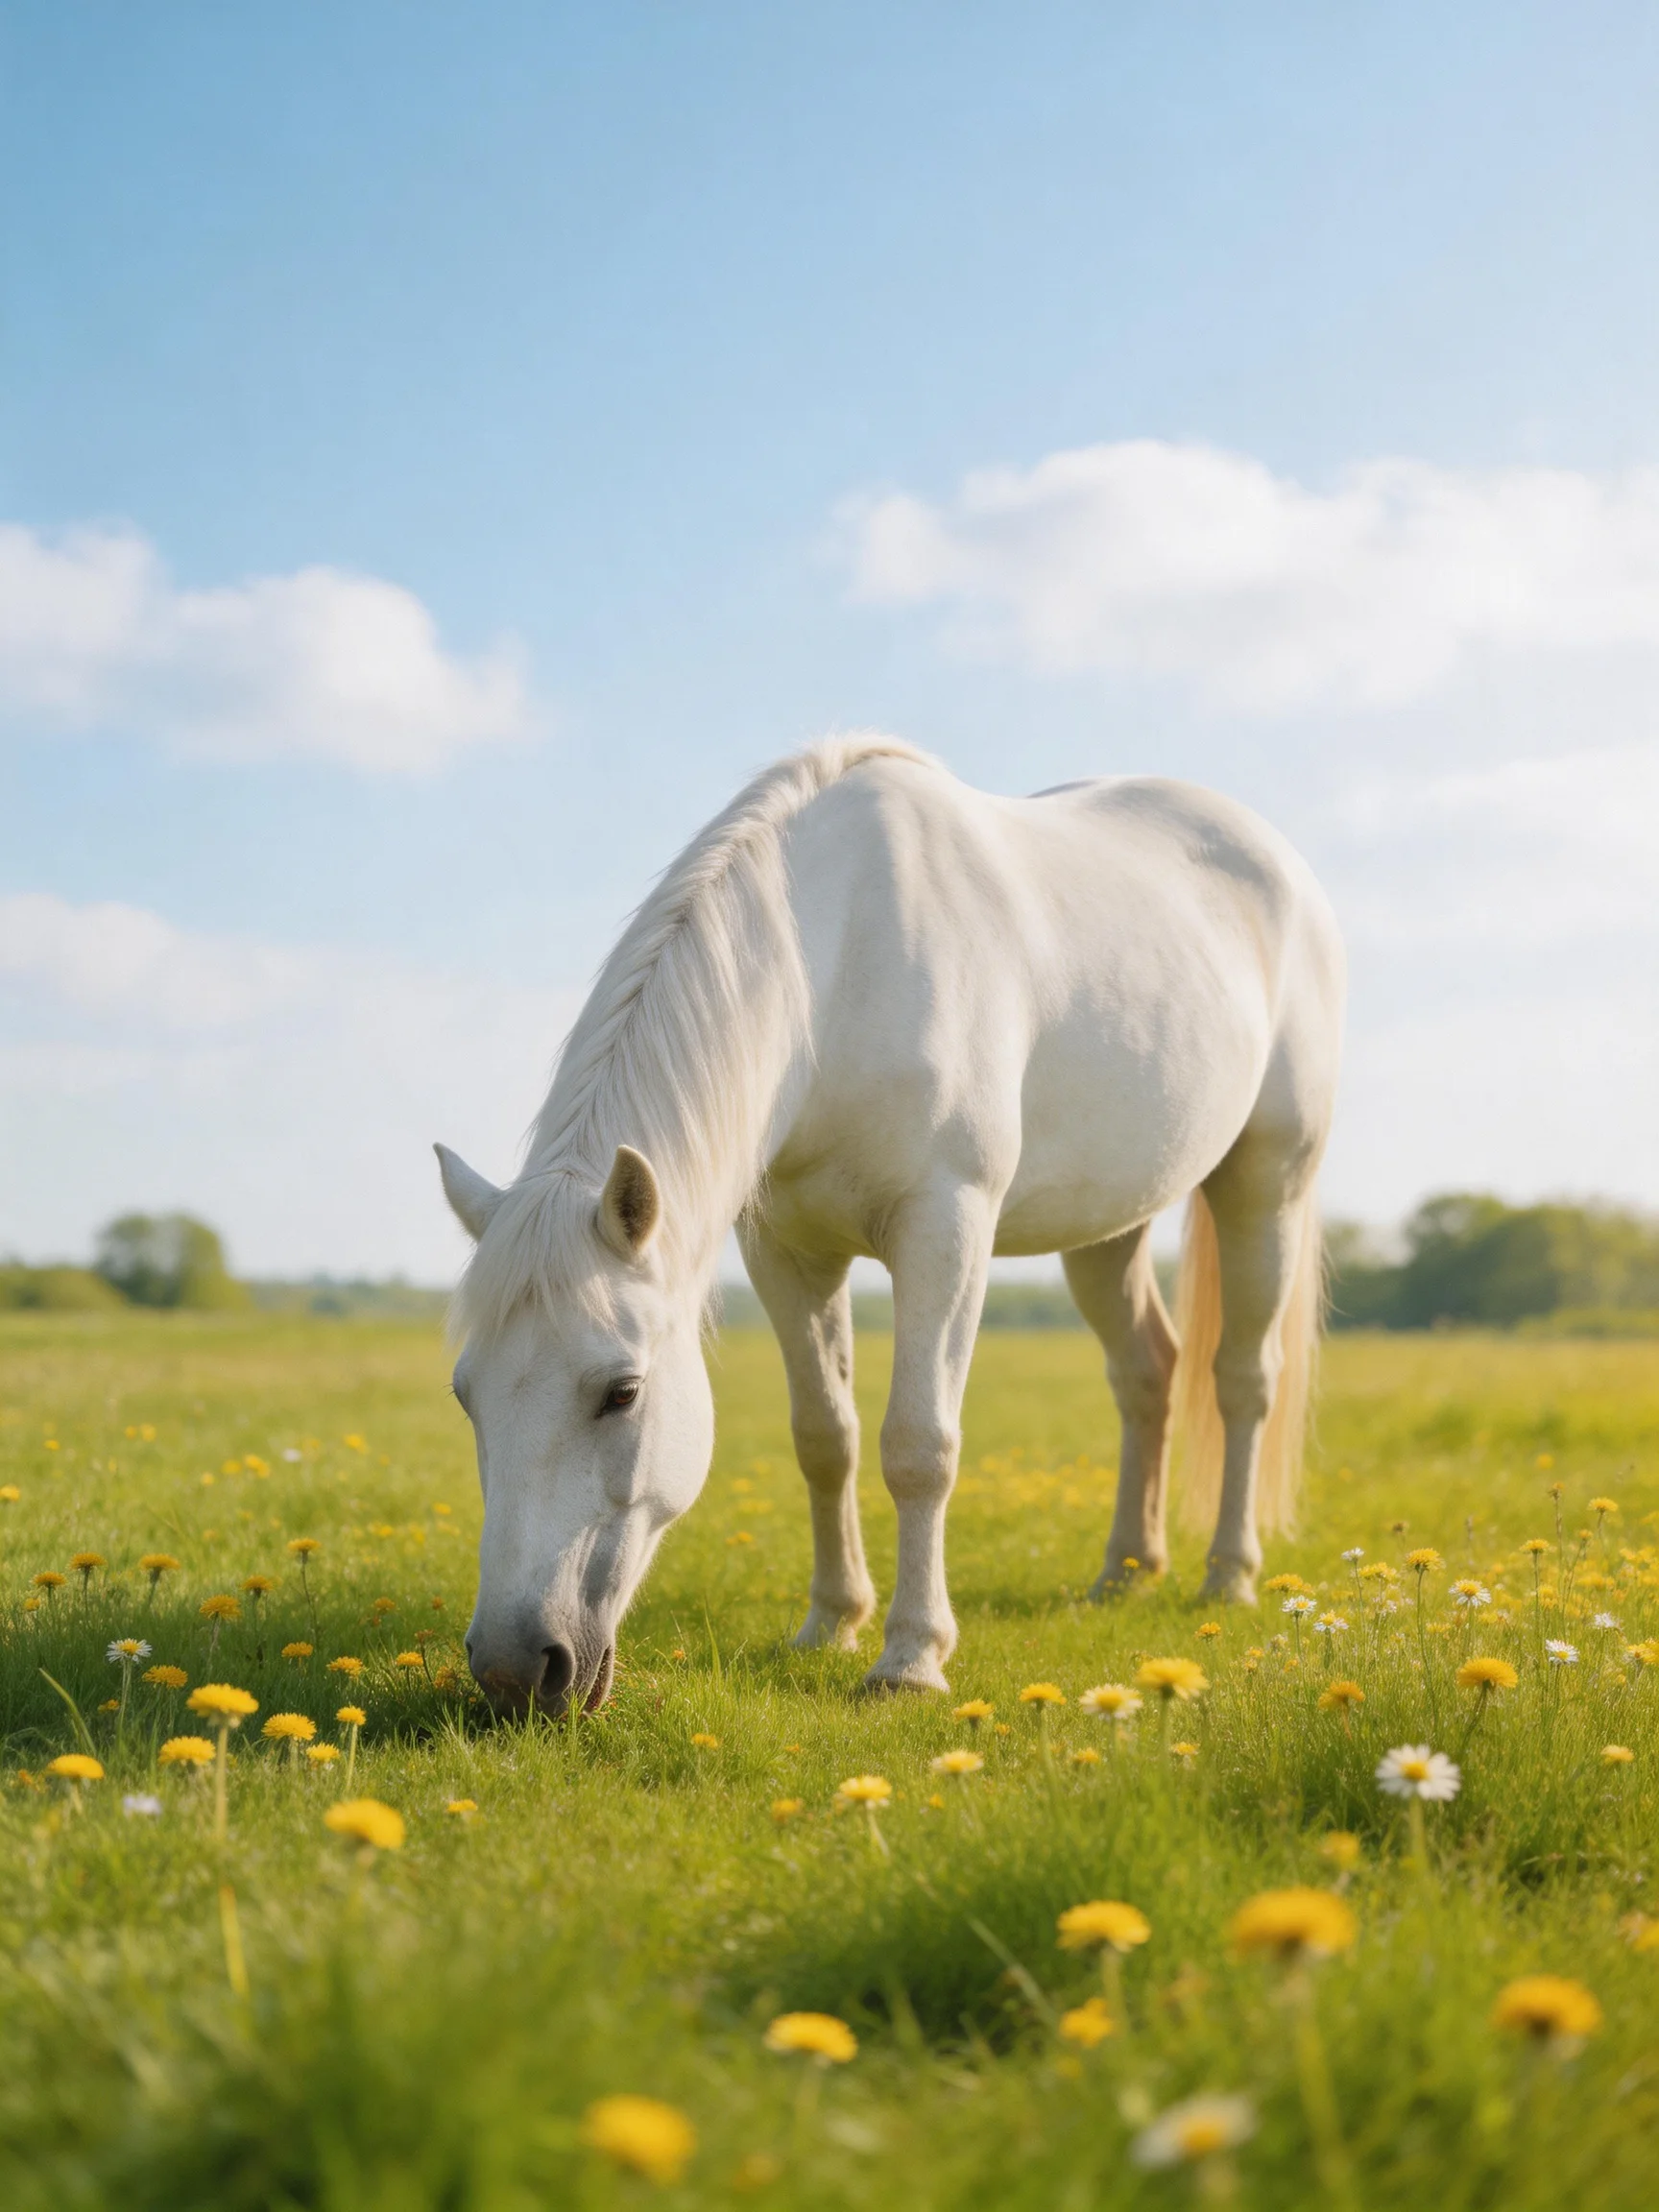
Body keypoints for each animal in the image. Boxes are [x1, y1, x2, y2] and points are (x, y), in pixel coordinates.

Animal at [438, 738, 1344, 1715]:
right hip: (1108, 1225)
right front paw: (831, 1623)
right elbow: (823, 1437)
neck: (832, 967)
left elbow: (919, 1445)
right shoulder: (787, 1252)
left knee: (1243, 1378)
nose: (513, 1669)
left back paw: (1229, 1575)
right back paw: (1126, 1572)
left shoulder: (945, 1226)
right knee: (1148, 1372)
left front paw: (911, 1658)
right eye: (465, 1394)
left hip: (1267, 1182)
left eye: (623, 1392)